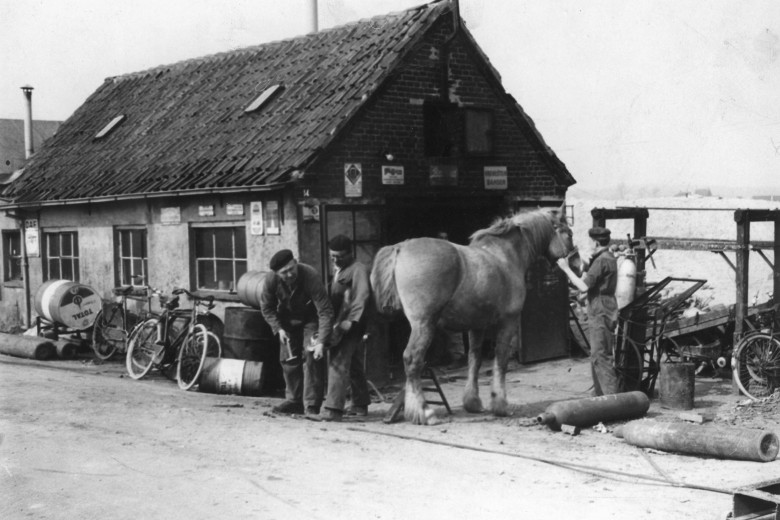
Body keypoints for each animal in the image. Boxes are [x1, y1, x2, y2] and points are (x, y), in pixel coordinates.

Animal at [368, 205, 576, 424]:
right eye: (569, 234)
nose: (575, 262)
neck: (506, 256)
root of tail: (400, 248)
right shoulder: (508, 322)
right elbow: (501, 360)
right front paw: (500, 405)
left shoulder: (477, 326)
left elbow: (474, 360)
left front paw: (473, 403)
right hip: (424, 325)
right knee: (412, 359)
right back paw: (424, 412)